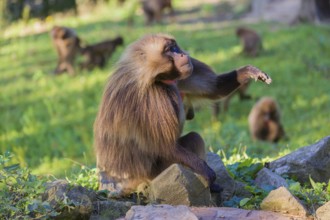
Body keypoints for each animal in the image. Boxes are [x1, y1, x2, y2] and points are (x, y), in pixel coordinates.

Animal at [94, 32, 272, 196]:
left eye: (174, 47)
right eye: (168, 51)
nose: (182, 54)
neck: (154, 77)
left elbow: (215, 88)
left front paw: (249, 71)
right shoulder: (154, 96)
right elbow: (167, 146)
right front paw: (208, 173)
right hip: (158, 172)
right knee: (192, 137)